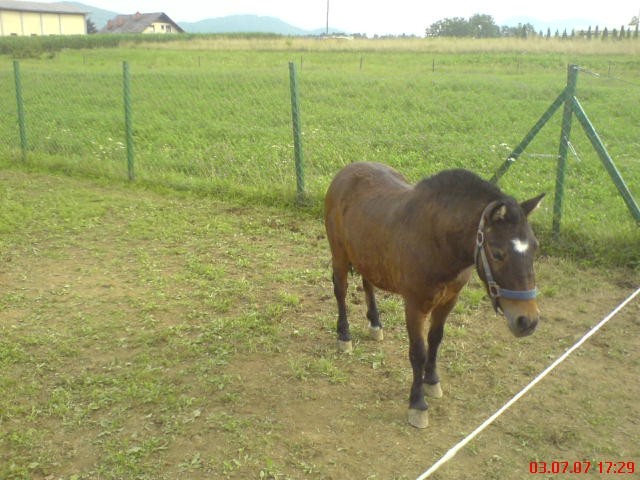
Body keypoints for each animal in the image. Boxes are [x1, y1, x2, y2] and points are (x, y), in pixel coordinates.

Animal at [324, 161, 544, 428]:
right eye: (498, 253)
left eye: (534, 247)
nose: (527, 321)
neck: (437, 240)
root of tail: (346, 172)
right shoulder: (415, 305)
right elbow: (418, 352)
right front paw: (417, 404)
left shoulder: (448, 301)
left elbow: (436, 340)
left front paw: (432, 381)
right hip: (340, 255)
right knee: (341, 291)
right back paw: (344, 336)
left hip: (365, 254)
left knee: (368, 285)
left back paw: (375, 324)